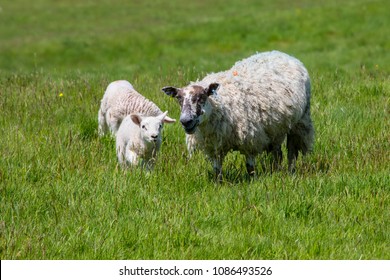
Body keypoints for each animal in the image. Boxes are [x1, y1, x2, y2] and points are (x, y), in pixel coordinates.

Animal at [161, 50, 314, 182]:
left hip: (300, 121)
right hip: (275, 128)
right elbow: (217, 170)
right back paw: (276, 170)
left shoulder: (251, 140)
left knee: (292, 151)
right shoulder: (213, 146)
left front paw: (252, 182)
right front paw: (219, 185)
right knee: (278, 152)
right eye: (179, 98)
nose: (186, 121)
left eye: (201, 97)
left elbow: (250, 167)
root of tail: (280, 53)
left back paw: (291, 172)